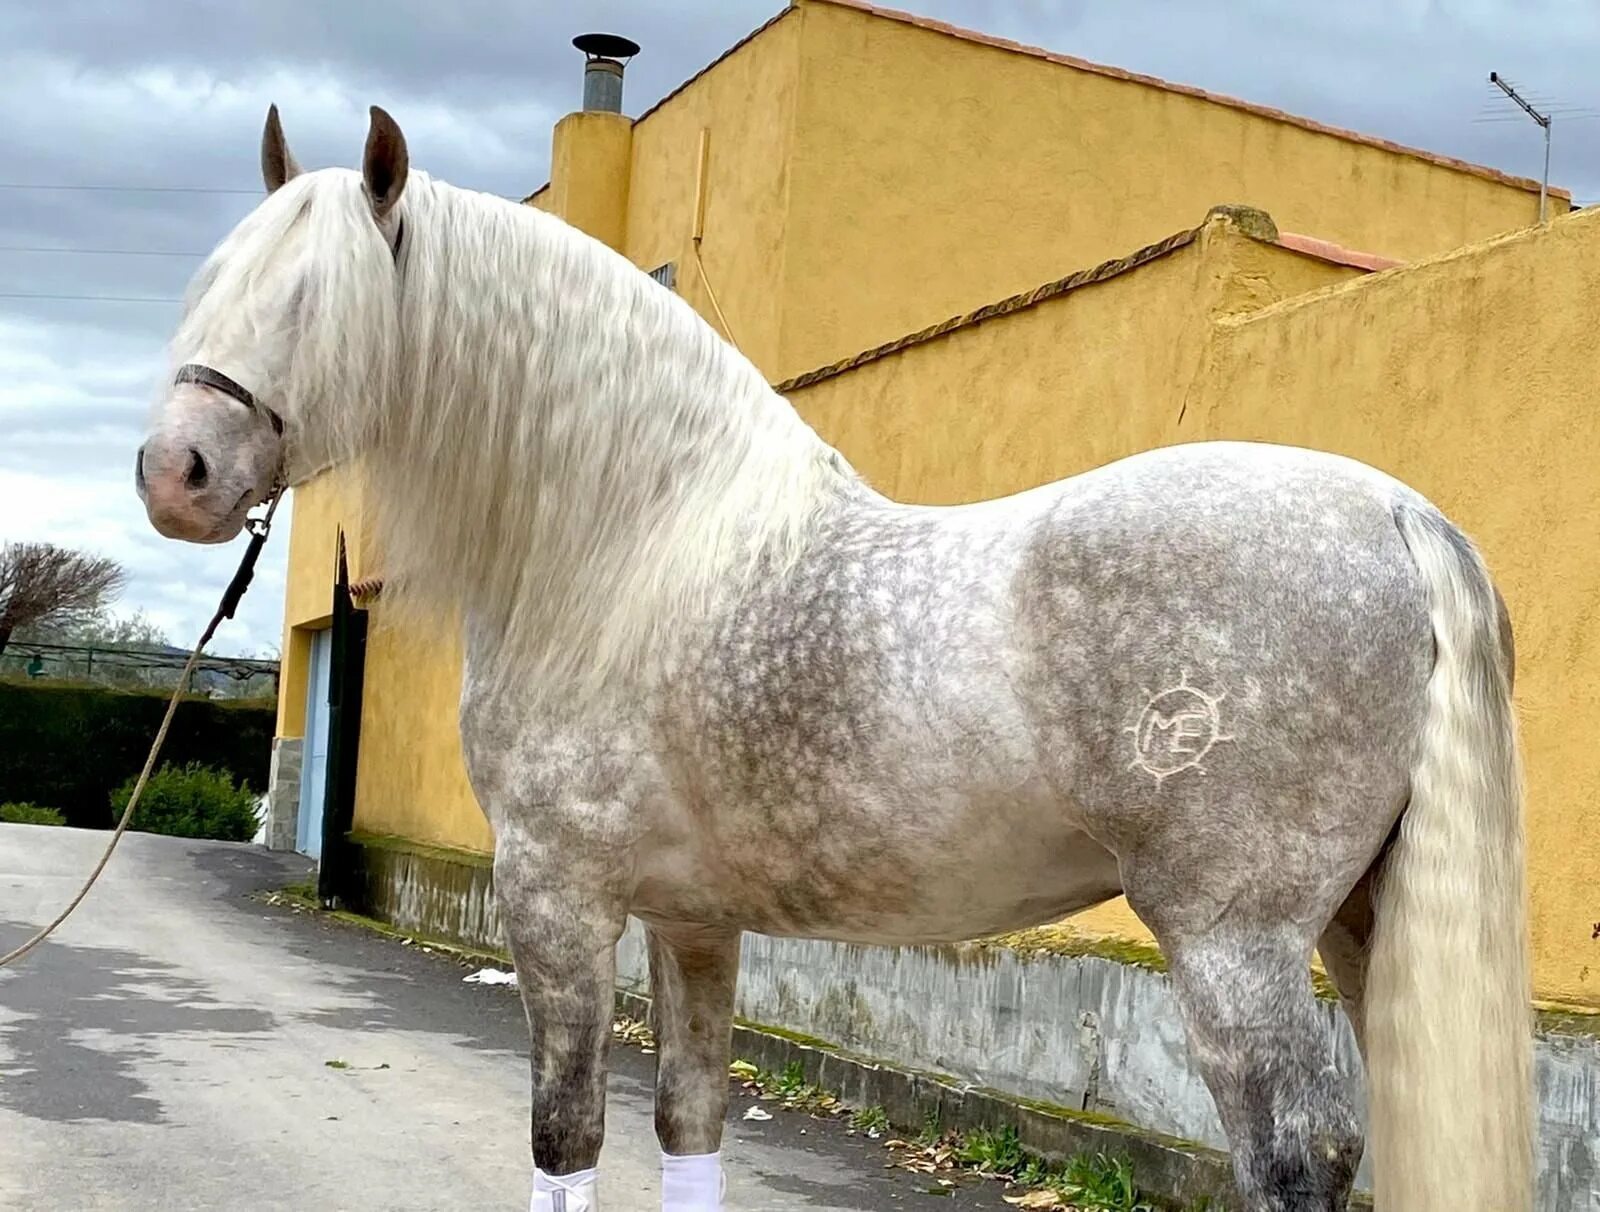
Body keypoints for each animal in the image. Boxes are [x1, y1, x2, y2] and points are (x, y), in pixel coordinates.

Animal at [140, 107, 1536, 1212]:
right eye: (212, 282)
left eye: (313, 297)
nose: (173, 474)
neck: (638, 543)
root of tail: (1395, 514)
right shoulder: (692, 920)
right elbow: (688, 1124)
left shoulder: (558, 898)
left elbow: (565, 1137)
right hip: (1356, 924)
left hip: (1231, 941)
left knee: (1299, 1153)